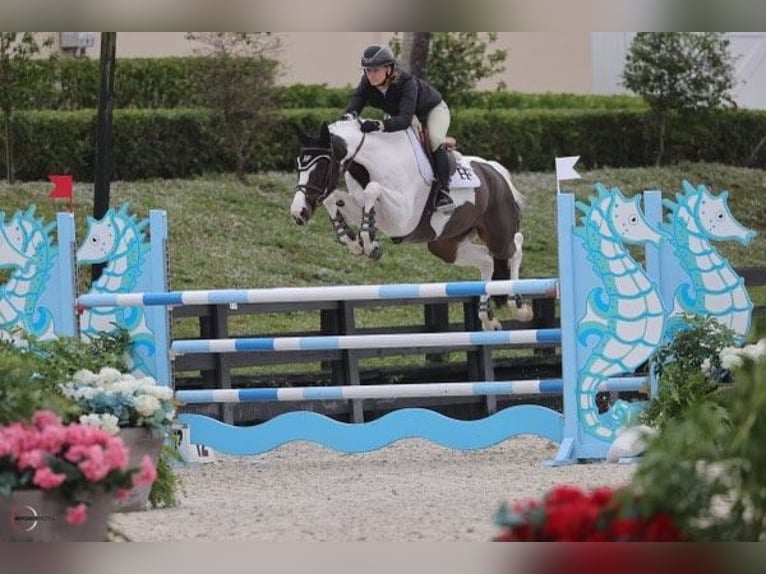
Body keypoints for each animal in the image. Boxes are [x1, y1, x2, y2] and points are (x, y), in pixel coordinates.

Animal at [292, 118, 536, 330]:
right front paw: (353, 242)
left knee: (515, 246)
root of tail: (496, 172)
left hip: (497, 234)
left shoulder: (402, 218)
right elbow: (334, 199)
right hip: (444, 245)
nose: (298, 213)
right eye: (299, 166)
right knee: (487, 261)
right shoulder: (369, 210)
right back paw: (488, 319)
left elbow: (372, 189)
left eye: (321, 167)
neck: (372, 162)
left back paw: (519, 306)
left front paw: (370, 245)